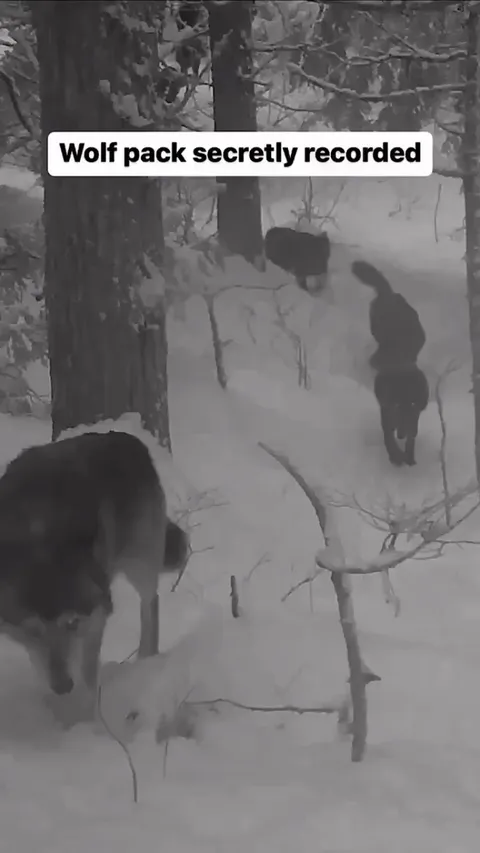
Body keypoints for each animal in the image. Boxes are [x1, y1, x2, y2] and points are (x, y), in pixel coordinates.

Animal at [0, 431, 189, 706]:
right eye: (32, 631)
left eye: (72, 623)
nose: (63, 687)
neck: (35, 528)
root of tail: (127, 438)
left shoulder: (97, 614)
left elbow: (88, 674)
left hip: (139, 563)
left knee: (150, 602)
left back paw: (146, 658)